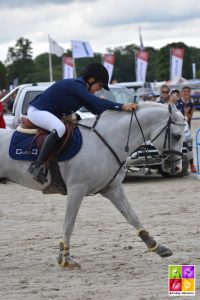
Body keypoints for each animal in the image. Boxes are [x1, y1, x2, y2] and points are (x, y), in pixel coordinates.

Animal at [0, 102, 184, 268]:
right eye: (177, 136)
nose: (176, 167)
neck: (107, 140)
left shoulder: (113, 189)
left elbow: (132, 216)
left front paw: (157, 246)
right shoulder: (77, 189)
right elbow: (68, 224)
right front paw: (66, 258)